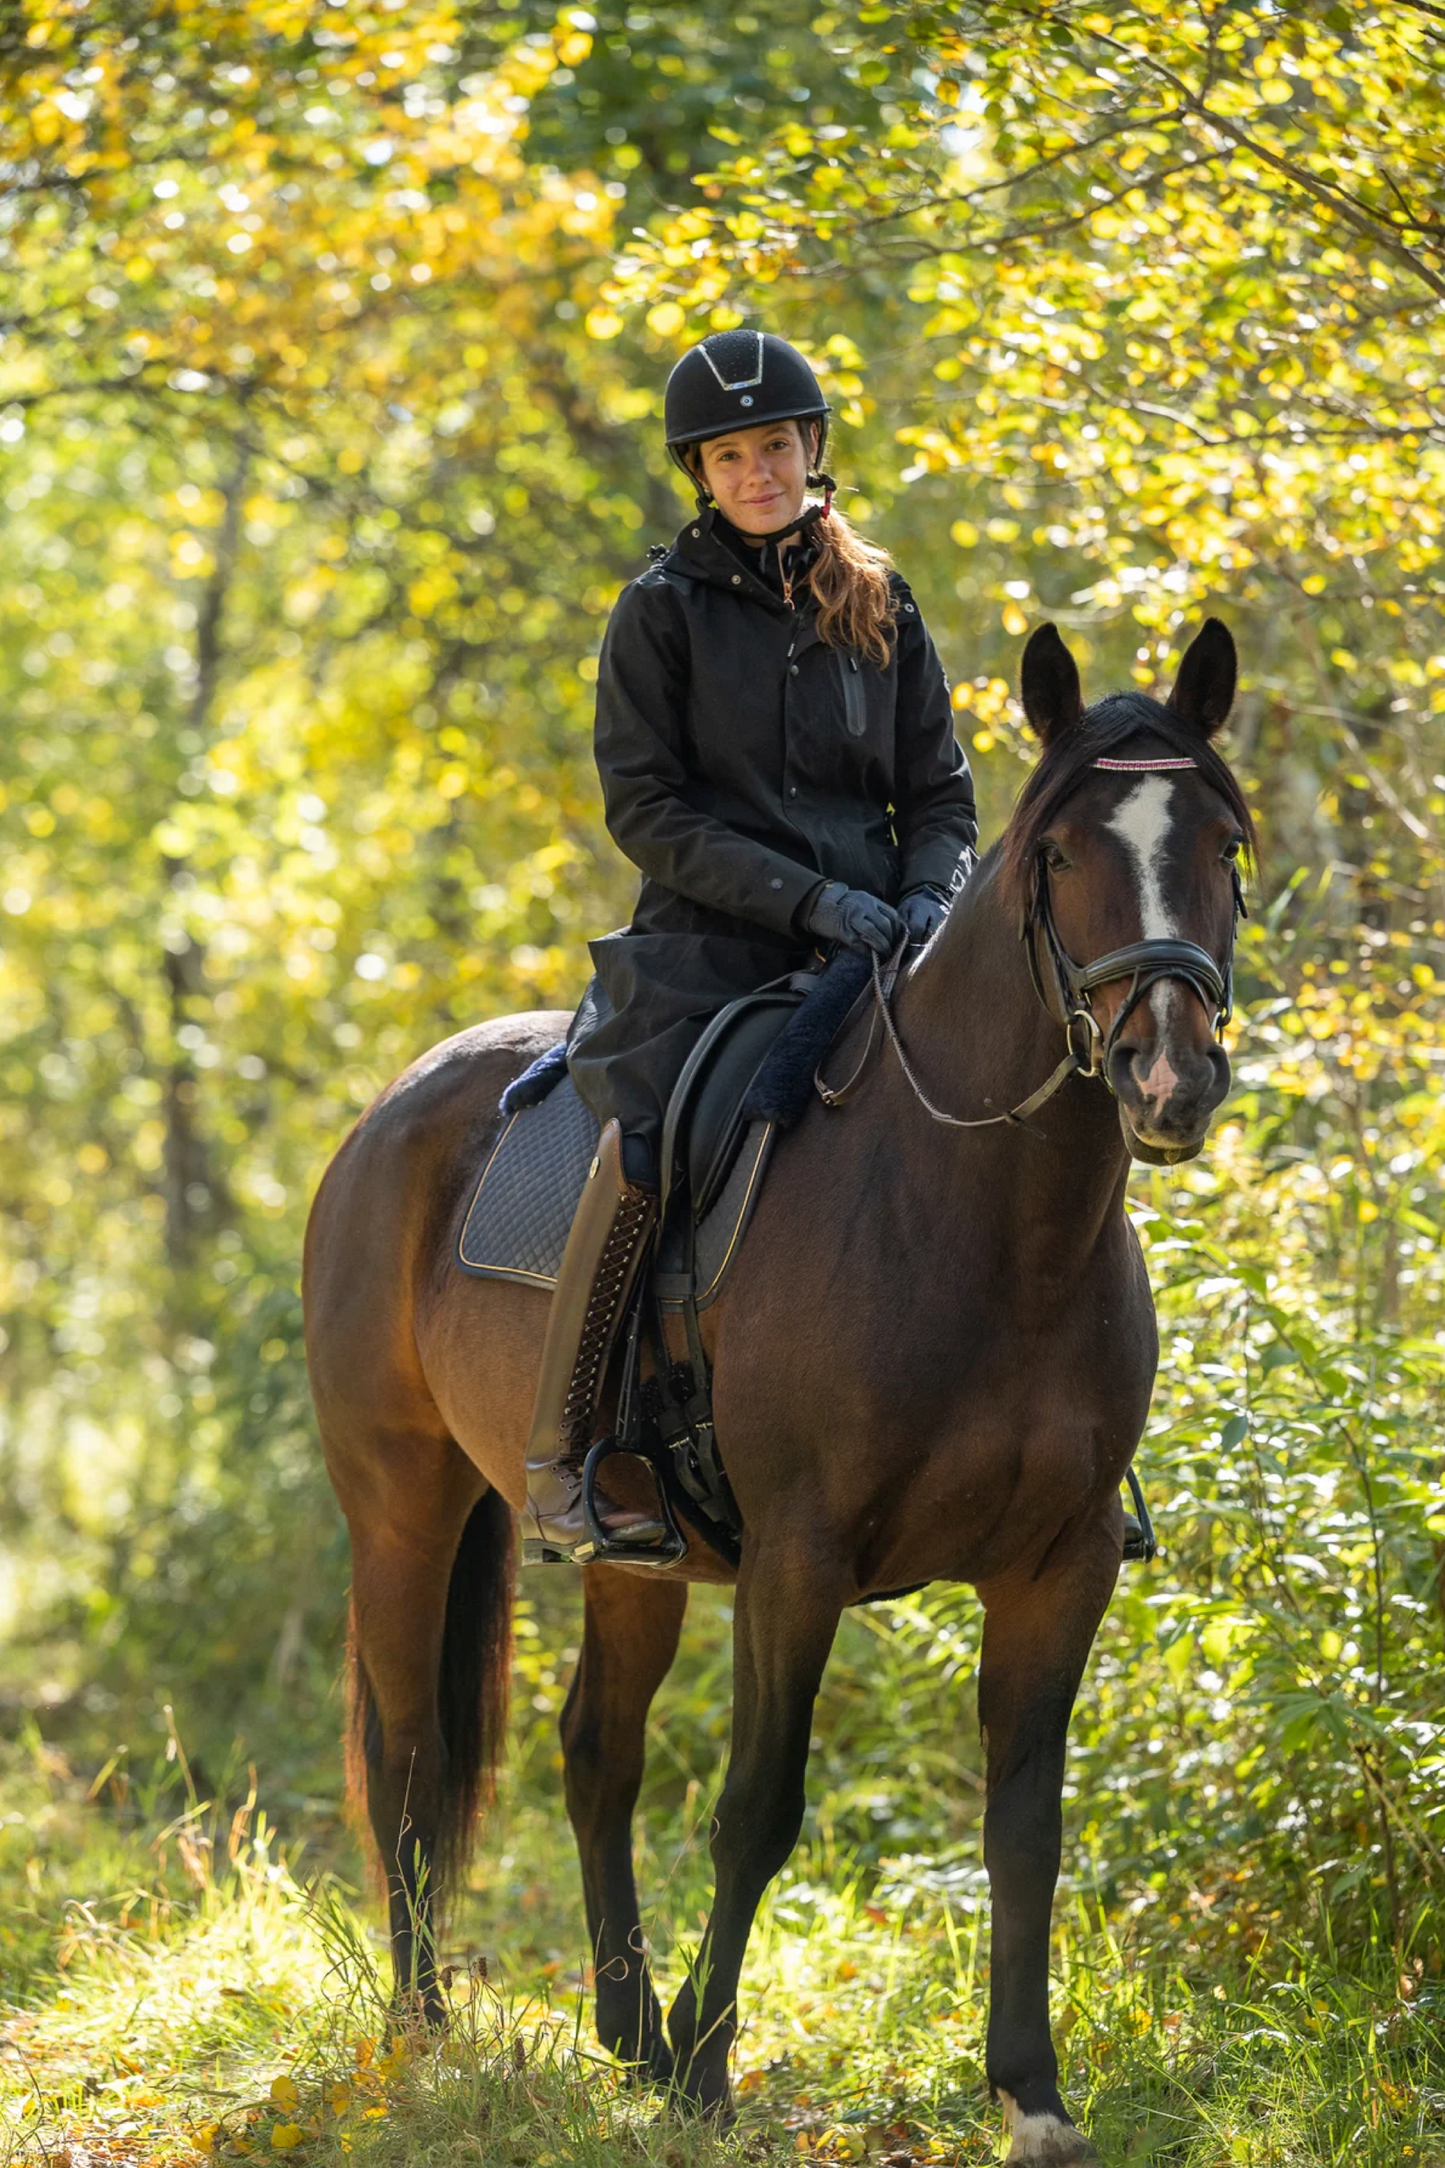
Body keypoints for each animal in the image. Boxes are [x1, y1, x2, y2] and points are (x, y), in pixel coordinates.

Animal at [305, 620, 1256, 2159]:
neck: (983, 1224)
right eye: (1060, 854)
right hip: (400, 1504)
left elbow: (1025, 1826)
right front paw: (708, 2077)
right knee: (407, 1753)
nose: (1166, 1076)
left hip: (630, 1557)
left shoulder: (1057, 1569)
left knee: (595, 1752)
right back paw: (428, 2033)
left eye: (1222, 843)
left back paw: (624, 2036)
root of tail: (393, 1110)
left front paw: (1031, 2093)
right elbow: (758, 1808)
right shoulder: (798, 1561)